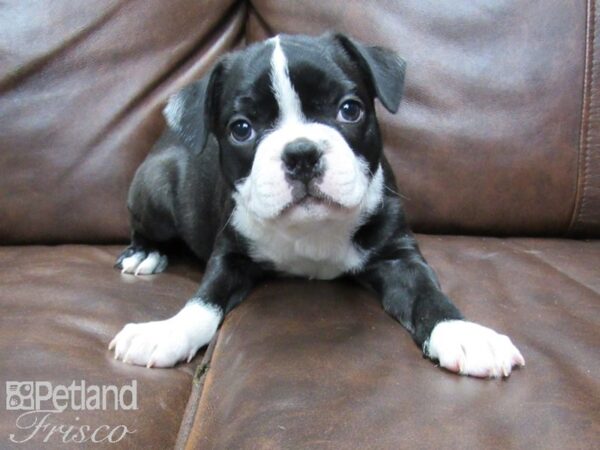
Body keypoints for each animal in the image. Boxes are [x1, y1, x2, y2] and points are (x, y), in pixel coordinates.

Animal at [110, 32, 524, 376]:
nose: (301, 153)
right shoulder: (230, 258)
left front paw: (464, 333)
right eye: (241, 129)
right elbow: (203, 301)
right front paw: (167, 332)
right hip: (153, 189)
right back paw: (144, 253)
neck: (311, 229)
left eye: (350, 109)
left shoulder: (399, 258)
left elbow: (428, 295)